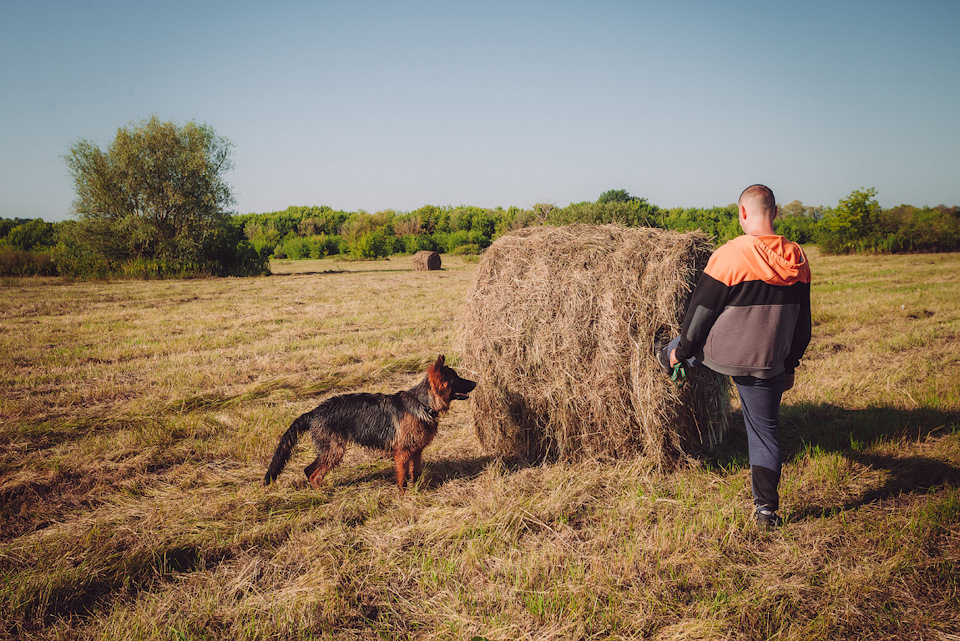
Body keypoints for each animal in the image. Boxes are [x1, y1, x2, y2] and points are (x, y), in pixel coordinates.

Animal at [262, 352, 476, 492]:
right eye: (457, 378)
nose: (476, 382)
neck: (422, 404)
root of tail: (313, 411)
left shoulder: (416, 451)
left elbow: (414, 474)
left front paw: (416, 491)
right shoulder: (402, 453)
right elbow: (402, 478)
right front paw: (403, 495)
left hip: (329, 450)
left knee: (308, 470)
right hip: (334, 450)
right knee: (314, 474)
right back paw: (323, 494)